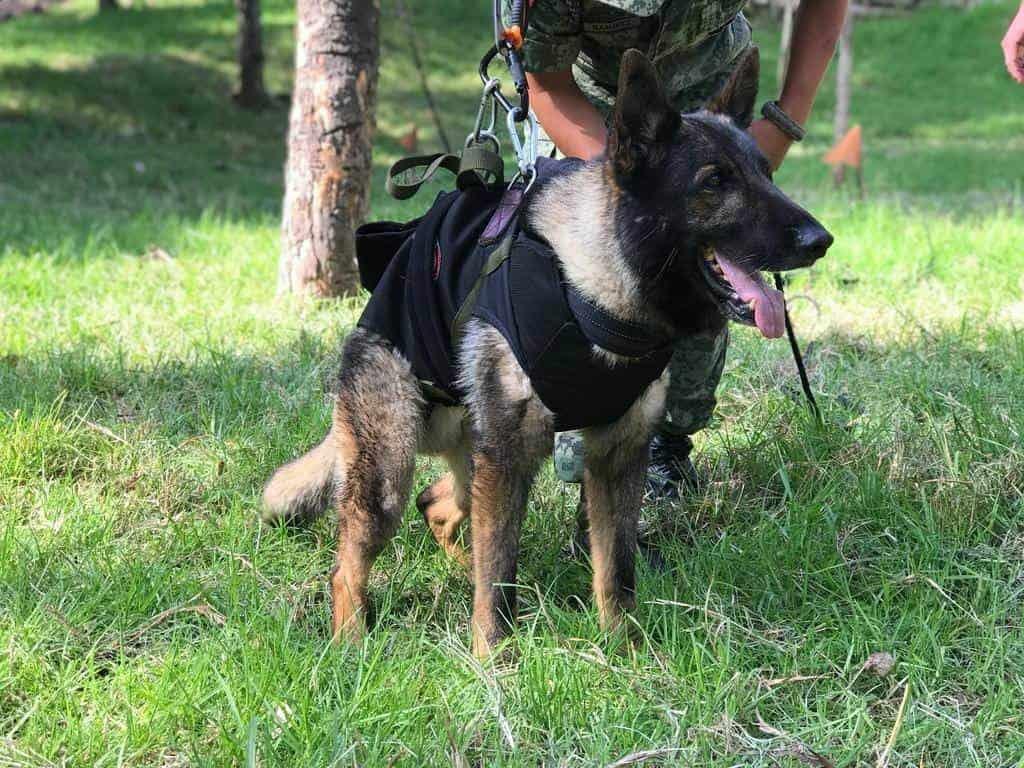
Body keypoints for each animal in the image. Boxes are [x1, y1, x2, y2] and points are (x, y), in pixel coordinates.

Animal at [262, 51, 831, 659]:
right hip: (394, 470)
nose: (821, 241)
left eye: (765, 174)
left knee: (437, 504)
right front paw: (493, 660)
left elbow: (615, 571)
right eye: (715, 181)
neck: (595, 292)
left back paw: (457, 571)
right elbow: (500, 578)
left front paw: (623, 650)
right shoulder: (513, 460)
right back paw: (352, 640)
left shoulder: (616, 458)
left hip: (474, 463)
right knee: (352, 564)